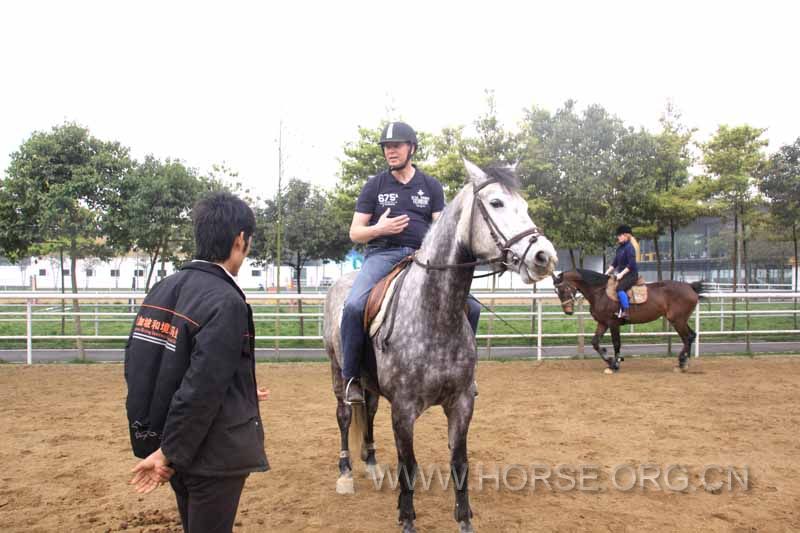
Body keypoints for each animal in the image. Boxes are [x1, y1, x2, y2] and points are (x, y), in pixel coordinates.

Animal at [324, 159, 556, 532]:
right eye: (496, 203)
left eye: (525, 205)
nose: (544, 256)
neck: (433, 313)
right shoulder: (403, 409)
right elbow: (408, 465)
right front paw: (406, 519)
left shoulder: (461, 403)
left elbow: (459, 463)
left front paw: (465, 521)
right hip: (337, 370)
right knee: (345, 415)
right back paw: (345, 472)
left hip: (370, 384)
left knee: (368, 412)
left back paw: (371, 464)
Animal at [552, 268, 704, 372]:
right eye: (556, 292)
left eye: (564, 289)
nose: (568, 311)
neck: (600, 292)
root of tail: (690, 287)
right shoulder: (602, 323)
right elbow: (595, 342)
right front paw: (609, 360)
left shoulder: (613, 323)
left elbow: (616, 343)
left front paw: (615, 364)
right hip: (680, 320)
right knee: (690, 336)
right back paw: (683, 362)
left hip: (677, 320)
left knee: (687, 337)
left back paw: (682, 363)